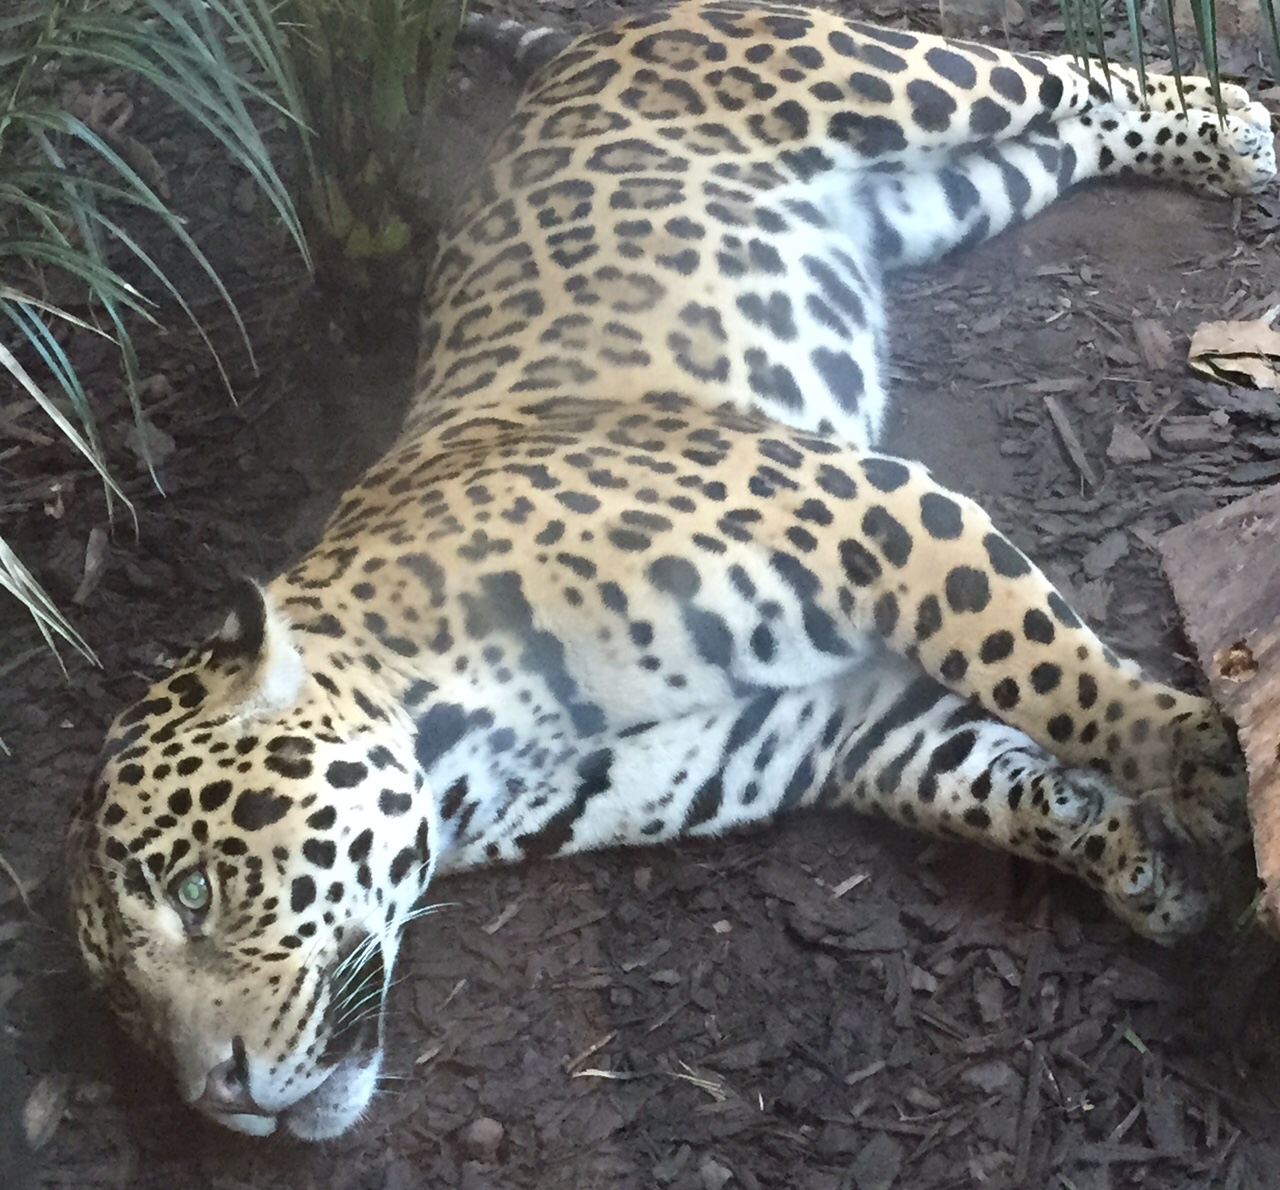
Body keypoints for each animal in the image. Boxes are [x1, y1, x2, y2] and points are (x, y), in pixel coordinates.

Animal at [69, 0, 1276, 1142]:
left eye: (194, 888)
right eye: (122, 1006)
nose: (216, 1095)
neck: (466, 745)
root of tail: (584, 41)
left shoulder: (863, 509)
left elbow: (1039, 662)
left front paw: (1203, 763)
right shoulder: (829, 727)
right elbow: (988, 775)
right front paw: (1140, 859)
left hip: (886, 78)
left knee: (1066, 72)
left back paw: (1231, 119)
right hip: (950, 196)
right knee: (1065, 139)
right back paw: (1216, 146)